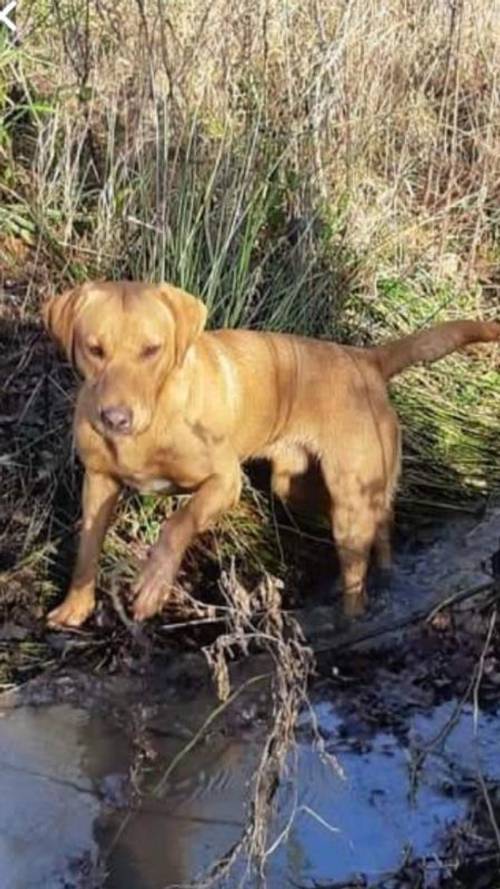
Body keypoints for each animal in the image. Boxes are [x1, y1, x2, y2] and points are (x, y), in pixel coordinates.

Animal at [42, 280, 500, 628]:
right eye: (94, 349)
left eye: (151, 350)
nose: (115, 418)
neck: (151, 425)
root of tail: (365, 358)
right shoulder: (98, 483)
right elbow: (87, 548)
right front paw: (75, 606)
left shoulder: (224, 483)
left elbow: (178, 523)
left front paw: (154, 582)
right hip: (296, 487)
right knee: (379, 519)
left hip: (348, 504)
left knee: (356, 567)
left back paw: (352, 616)